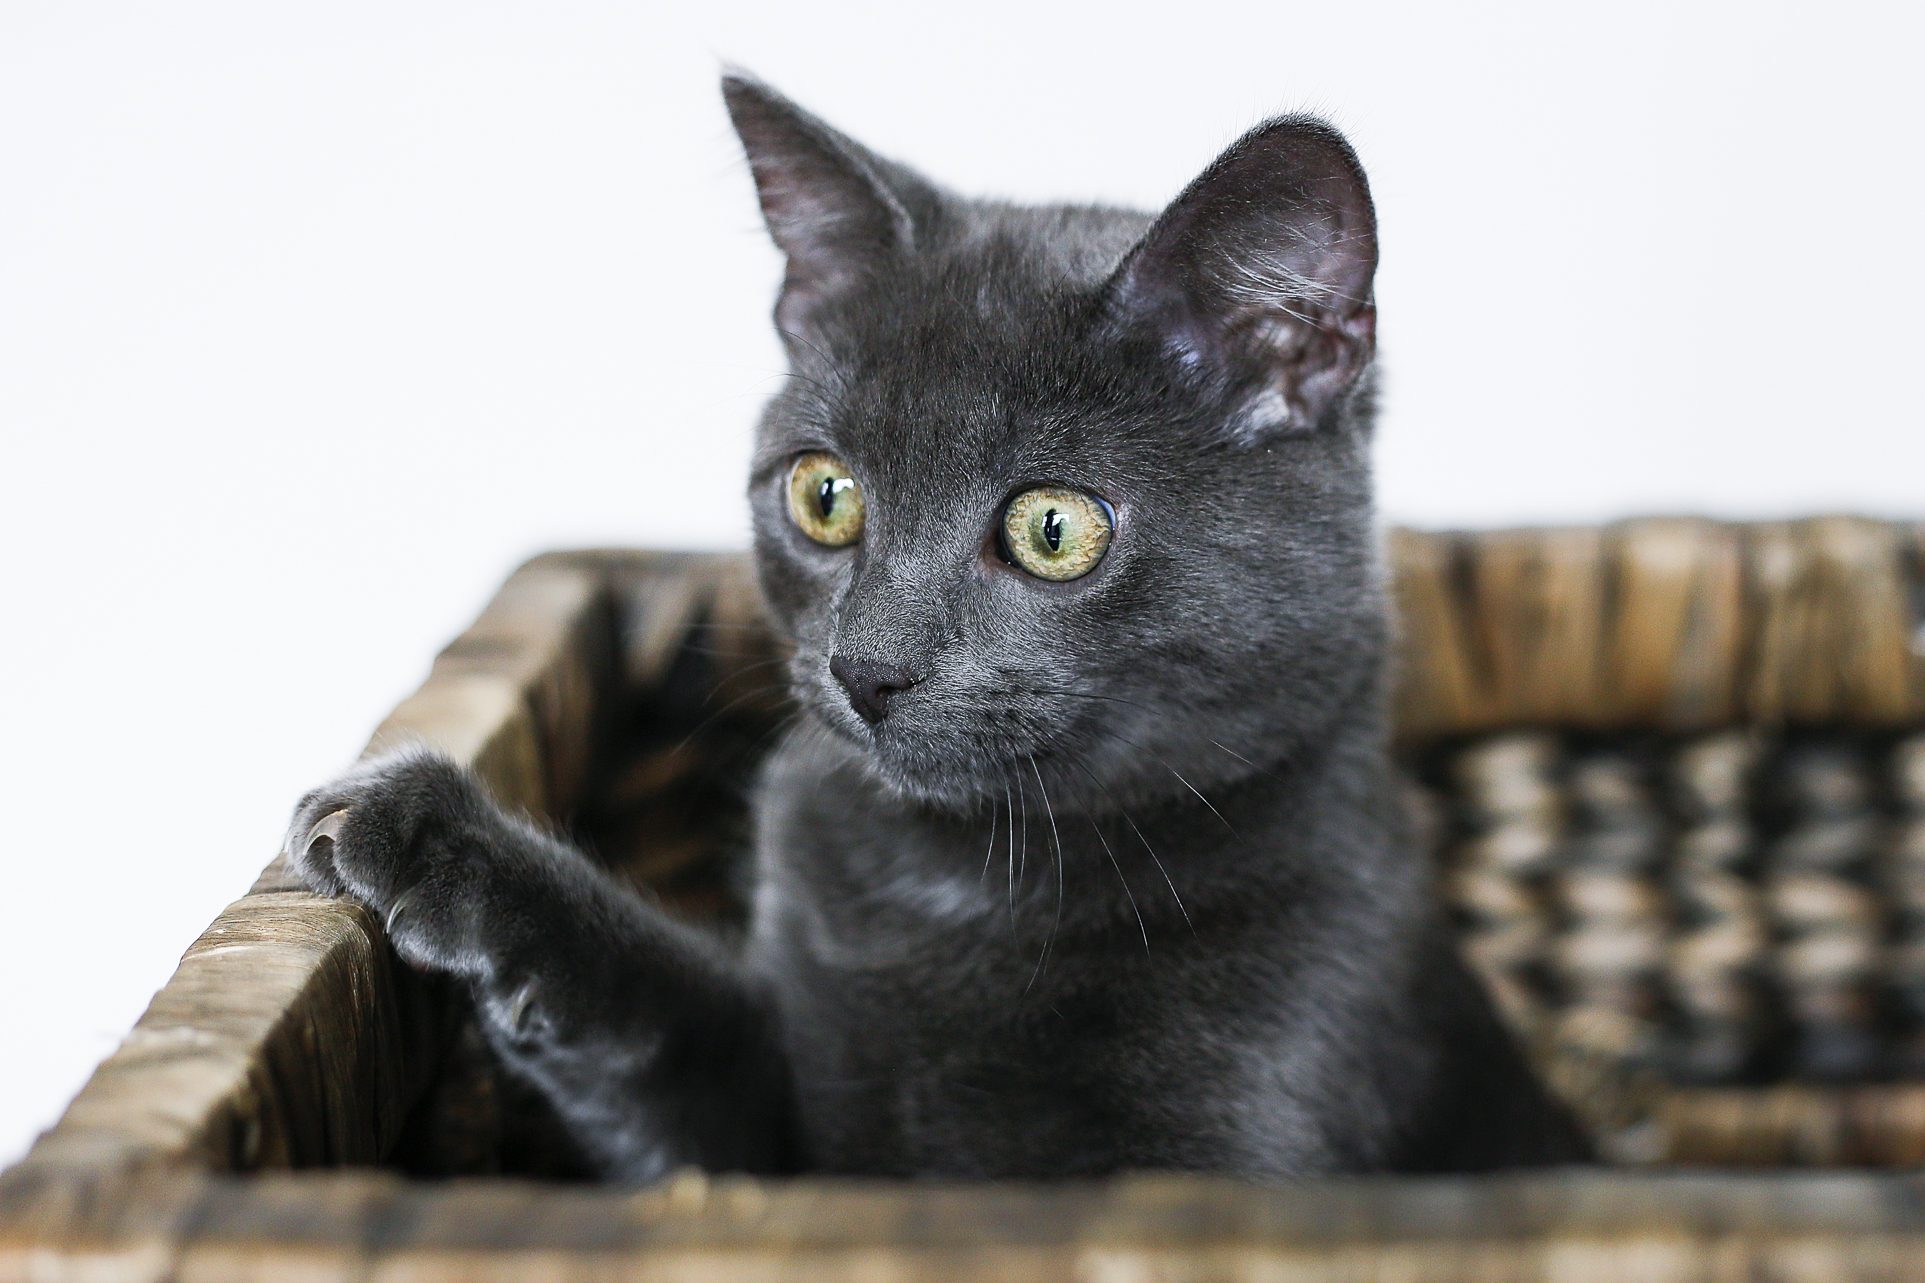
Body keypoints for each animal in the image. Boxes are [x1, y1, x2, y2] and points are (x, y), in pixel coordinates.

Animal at [279, 72, 1586, 1178]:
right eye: (823, 494)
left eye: (1053, 528)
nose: (867, 665)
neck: (969, 881)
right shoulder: (772, 1128)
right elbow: (663, 1024)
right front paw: (423, 831)